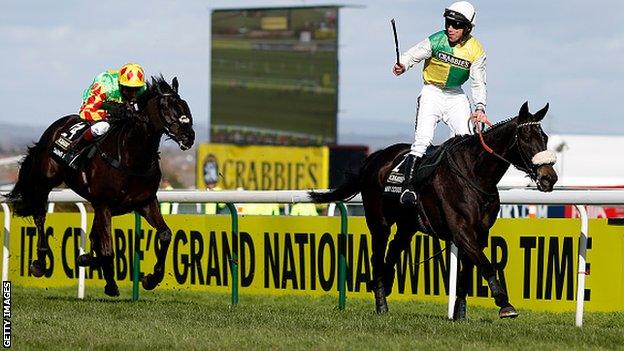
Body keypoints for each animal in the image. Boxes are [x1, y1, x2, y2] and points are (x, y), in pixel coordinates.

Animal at [4, 77, 195, 296]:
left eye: (185, 106)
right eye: (165, 107)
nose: (189, 136)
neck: (131, 157)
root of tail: (56, 127)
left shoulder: (144, 202)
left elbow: (164, 235)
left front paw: (151, 279)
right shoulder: (104, 203)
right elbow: (107, 249)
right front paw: (110, 284)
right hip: (45, 180)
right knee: (39, 215)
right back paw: (40, 263)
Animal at [310, 103, 560, 320]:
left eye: (545, 138)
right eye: (526, 137)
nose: (550, 178)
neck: (474, 174)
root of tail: (375, 157)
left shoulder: (480, 233)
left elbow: (468, 273)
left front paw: (460, 314)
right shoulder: (461, 230)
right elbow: (486, 264)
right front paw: (505, 304)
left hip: (407, 227)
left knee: (392, 253)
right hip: (378, 222)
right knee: (377, 258)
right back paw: (381, 303)